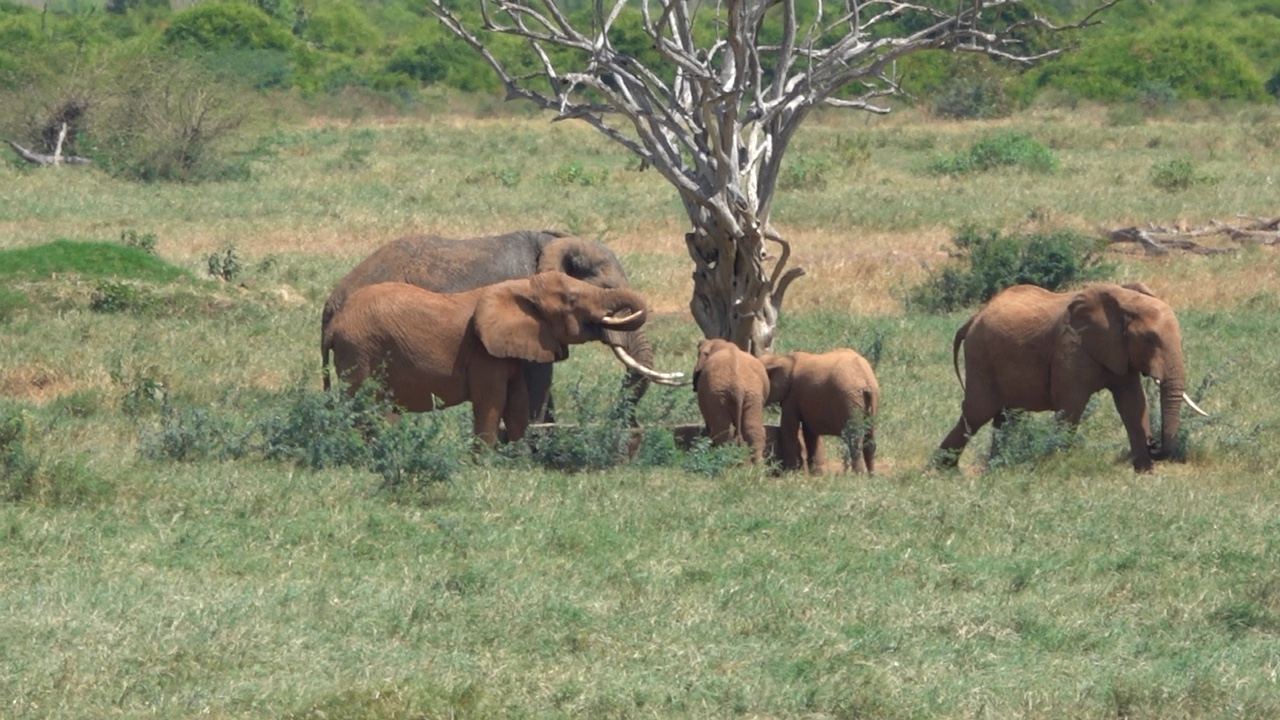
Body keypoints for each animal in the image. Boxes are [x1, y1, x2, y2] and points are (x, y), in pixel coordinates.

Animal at [320, 271, 680, 445]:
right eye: (572, 300)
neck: (521, 287)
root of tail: (333, 324)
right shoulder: (483, 353)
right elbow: (492, 401)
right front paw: (482, 464)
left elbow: (517, 404)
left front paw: (520, 463)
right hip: (360, 350)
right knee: (363, 404)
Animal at [936, 280, 1203, 471]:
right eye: (1150, 339)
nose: (1153, 443)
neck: (1124, 300)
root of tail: (973, 318)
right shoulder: (1070, 347)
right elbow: (1071, 406)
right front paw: (1058, 465)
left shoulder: (1120, 351)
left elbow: (1133, 404)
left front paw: (1145, 471)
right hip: (980, 356)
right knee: (976, 413)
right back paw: (942, 470)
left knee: (1006, 417)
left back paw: (996, 468)